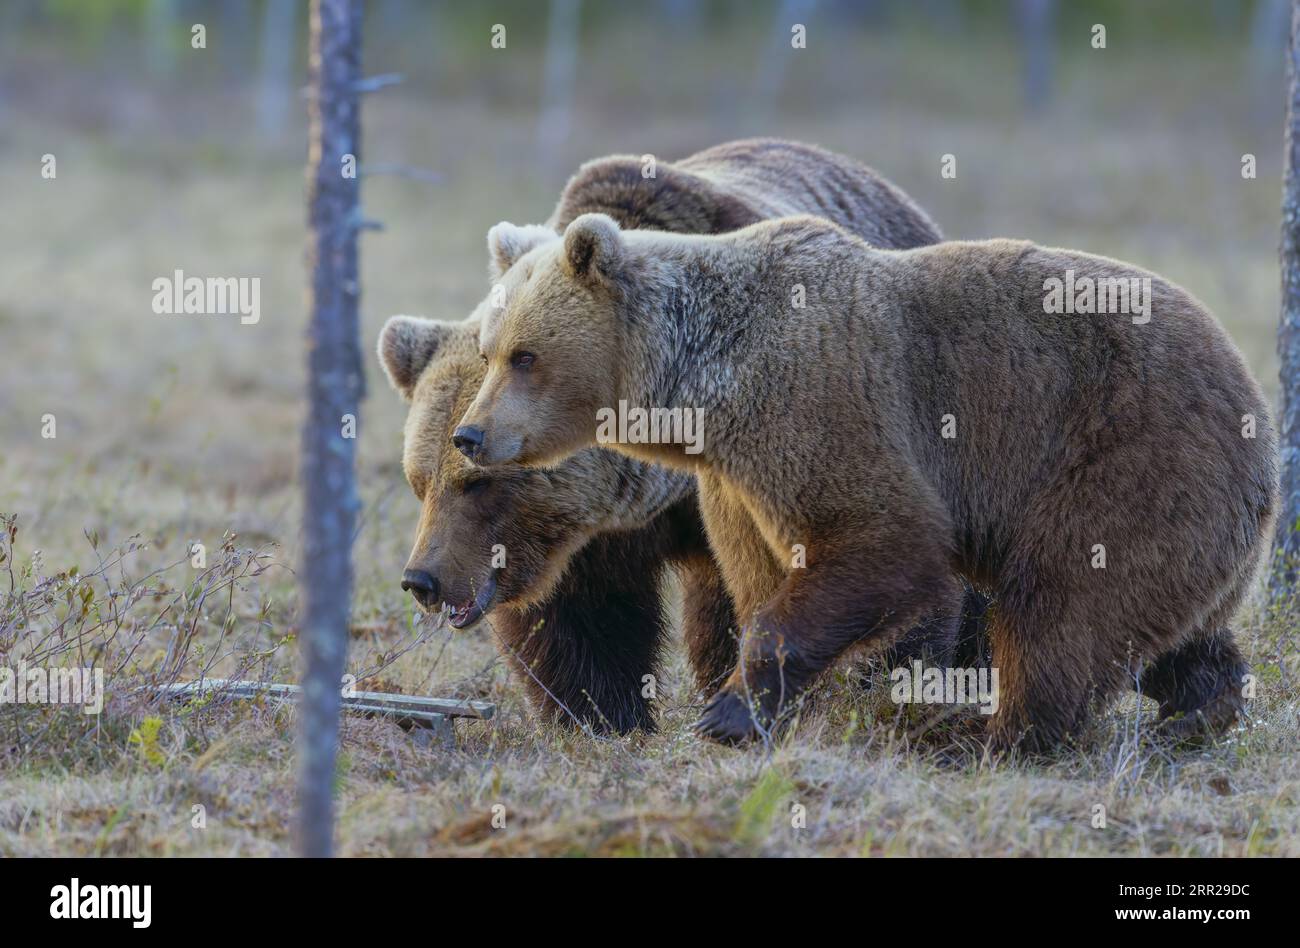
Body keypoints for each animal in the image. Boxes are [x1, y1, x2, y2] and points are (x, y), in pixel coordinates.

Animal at [378, 139, 986, 734]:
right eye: (419, 482)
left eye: (478, 484)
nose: (422, 581)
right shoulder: (587, 532)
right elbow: (581, 619)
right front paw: (601, 717)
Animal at [455, 211, 1277, 753]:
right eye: (490, 349)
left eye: (525, 355)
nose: (471, 435)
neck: (704, 387)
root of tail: (1255, 404)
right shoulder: (736, 481)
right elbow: (761, 572)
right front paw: (759, 708)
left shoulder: (818, 400)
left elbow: (884, 538)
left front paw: (731, 712)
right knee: (1169, 620)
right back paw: (1198, 708)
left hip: (1126, 455)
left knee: (1063, 607)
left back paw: (1000, 733)